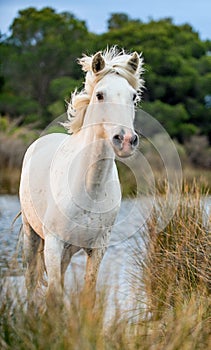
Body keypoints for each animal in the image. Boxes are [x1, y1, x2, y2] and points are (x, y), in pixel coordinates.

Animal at [19, 47, 144, 308]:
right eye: (100, 95)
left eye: (133, 97)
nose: (126, 140)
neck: (90, 188)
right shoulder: (54, 243)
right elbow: (54, 296)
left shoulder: (97, 248)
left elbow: (87, 295)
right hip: (32, 234)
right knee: (31, 281)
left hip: (67, 251)